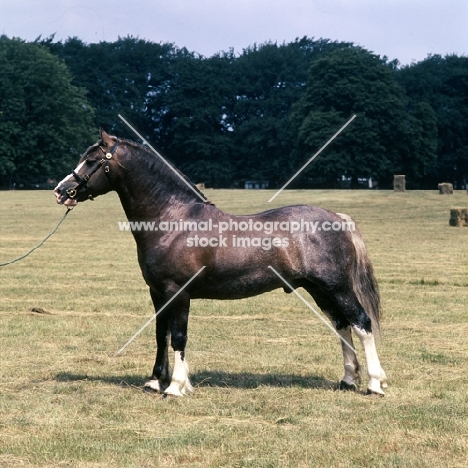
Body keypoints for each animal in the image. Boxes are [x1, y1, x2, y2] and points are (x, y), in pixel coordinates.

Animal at [54, 130, 388, 396]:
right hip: (319, 290)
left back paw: (374, 384)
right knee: (342, 326)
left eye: (92, 160)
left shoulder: (179, 293)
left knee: (361, 324)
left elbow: (178, 337)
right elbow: (161, 334)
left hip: (338, 288)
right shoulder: (158, 293)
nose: (60, 191)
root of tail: (337, 218)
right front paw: (155, 382)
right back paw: (347, 380)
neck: (172, 219)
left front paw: (175, 387)